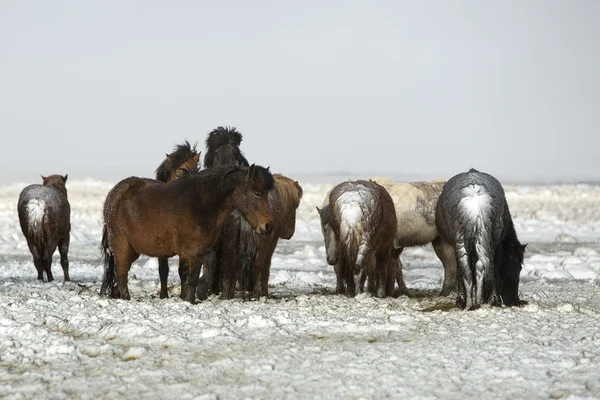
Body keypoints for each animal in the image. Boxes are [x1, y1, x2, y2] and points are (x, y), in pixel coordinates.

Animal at [100, 162, 274, 304]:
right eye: (257, 193)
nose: (268, 226)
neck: (201, 205)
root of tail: (113, 195)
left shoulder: (196, 253)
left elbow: (192, 278)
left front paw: (190, 300)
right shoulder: (190, 249)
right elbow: (211, 260)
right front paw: (202, 291)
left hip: (133, 250)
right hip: (122, 247)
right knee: (121, 274)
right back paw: (126, 299)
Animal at [155, 139, 202, 298]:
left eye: (197, 171)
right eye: (179, 173)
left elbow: (183, 270)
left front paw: (183, 295)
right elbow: (163, 270)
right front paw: (163, 295)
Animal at [436, 168, 524, 310]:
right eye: (517, 267)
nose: (514, 301)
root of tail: (475, 204)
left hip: (461, 240)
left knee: (468, 268)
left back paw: (471, 302)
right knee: (477, 266)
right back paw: (477, 301)